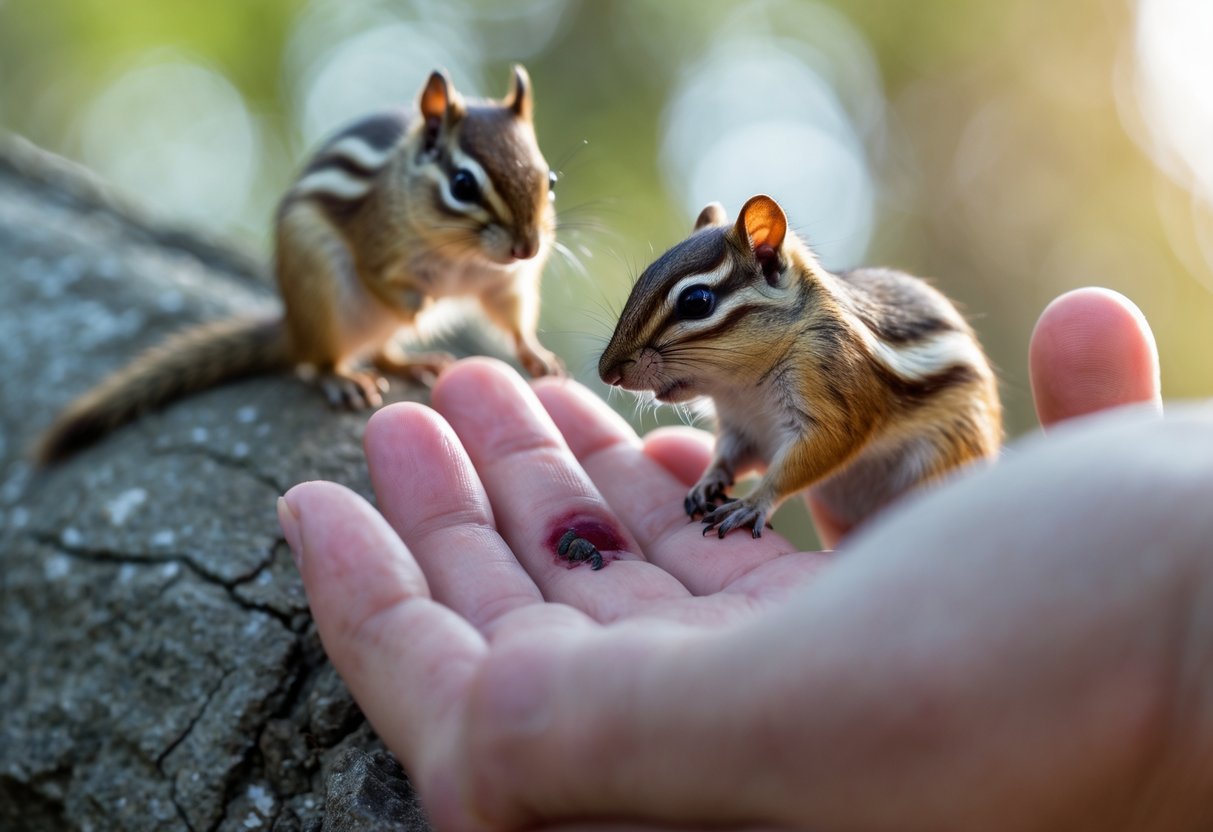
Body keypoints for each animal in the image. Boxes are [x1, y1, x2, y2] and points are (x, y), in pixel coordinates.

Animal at [36, 64, 561, 464]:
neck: (465, 257)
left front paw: (538, 357)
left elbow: (513, 318)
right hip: (320, 287)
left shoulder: (505, 282)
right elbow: (383, 281)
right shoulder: (377, 249)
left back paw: (413, 361)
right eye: (462, 185)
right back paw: (342, 379)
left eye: (550, 179)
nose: (527, 248)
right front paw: (421, 302)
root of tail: (293, 326)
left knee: (382, 350)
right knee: (323, 360)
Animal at [598, 194, 1002, 539]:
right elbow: (728, 455)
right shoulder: (740, 428)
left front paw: (751, 503)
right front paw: (707, 481)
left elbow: (813, 455)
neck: (741, 387)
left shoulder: (833, 382)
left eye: (696, 301)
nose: (607, 372)